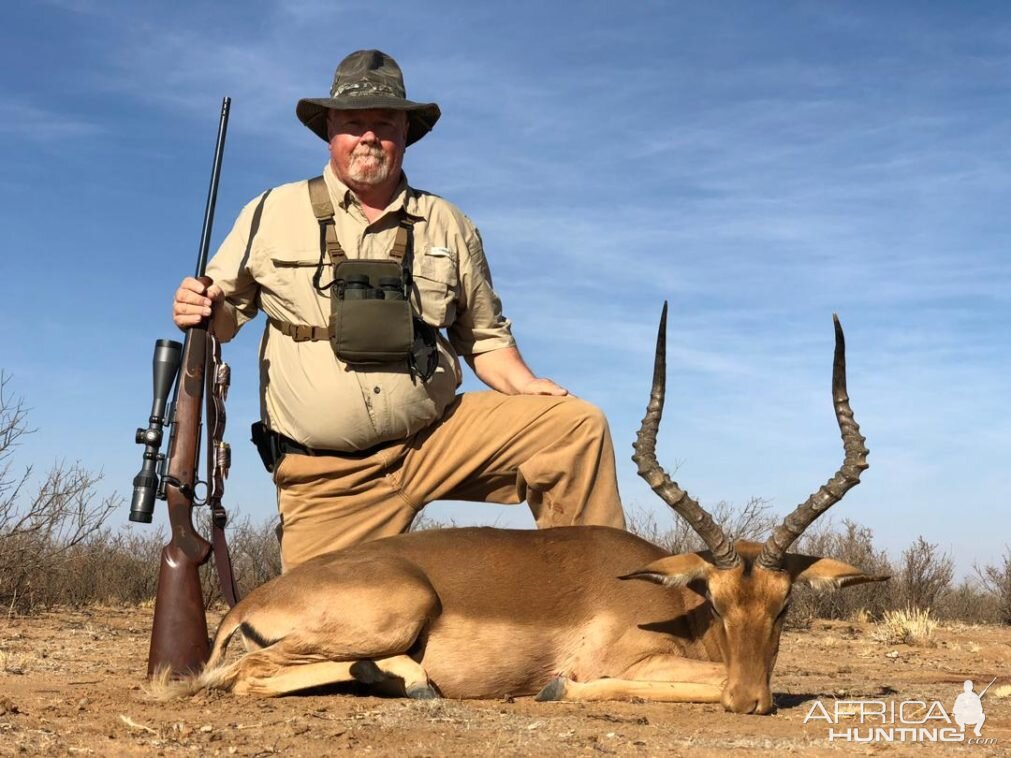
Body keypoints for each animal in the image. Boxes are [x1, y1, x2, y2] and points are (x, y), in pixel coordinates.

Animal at [169, 305, 889, 715]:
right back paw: (409, 681)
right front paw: (556, 689)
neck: (676, 611)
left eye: (784, 605)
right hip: (398, 609)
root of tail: (248, 602)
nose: (749, 702)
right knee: (246, 675)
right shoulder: (630, 663)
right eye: (713, 598)